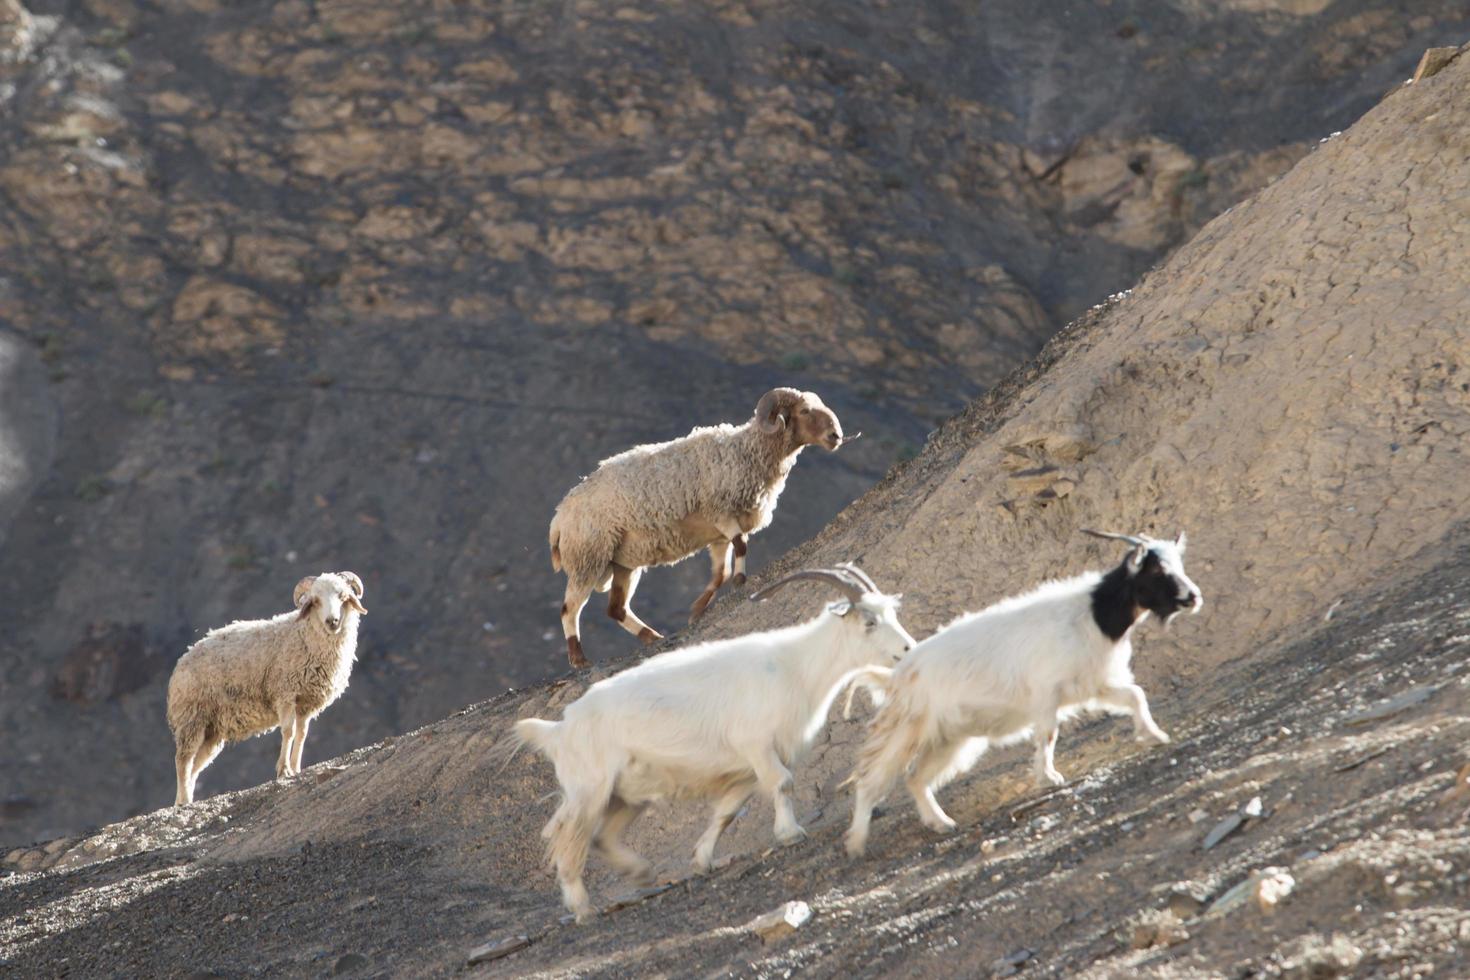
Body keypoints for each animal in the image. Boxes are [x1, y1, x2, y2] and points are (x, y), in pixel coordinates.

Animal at [166, 570, 367, 811]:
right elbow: (288, 731)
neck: (304, 634)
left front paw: (296, 767)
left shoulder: (306, 703)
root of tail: (182, 660)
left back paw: (184, 799)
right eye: (315, 601)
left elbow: (302, 734)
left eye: (343, 596)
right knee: (183, 760)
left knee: (195, 766)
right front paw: (284, 770)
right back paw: (184, 800)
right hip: (192, 717)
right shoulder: (285, 693)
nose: (332, 621)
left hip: (212, 731)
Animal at [511, 564, 911, 922]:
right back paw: (582, 908)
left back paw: (641, 873)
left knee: (601, 837)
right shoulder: (757, 746)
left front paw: (702, 860)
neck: (795, 667)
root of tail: (560, 728)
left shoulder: (745, 769)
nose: (907, 649)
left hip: (625, 795)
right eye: (869, 622)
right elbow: (782, 784)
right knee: (568, 836)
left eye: (891, 613)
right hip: (590, 789)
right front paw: (790, 834)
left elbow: (726, 812)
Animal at [546, 387, 858, 669]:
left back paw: (653, 637)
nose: (836, 436)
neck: (746, 451)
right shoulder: (720, 512)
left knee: (616, 609)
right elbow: (741, 546)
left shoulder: (718, 535)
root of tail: (558, 518)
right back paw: (579, 659)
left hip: (623, 563)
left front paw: (698, 609)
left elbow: (721, 572)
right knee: (569, 609)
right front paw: (741, 581)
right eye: (804, 411)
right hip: (588, 558)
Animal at [846, 528, 1199, 858]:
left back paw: (941, 822)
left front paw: (1154, 735)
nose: (1193, 597)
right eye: (1156, 570)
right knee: (870, 780)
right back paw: (856, 843)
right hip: (906, 729)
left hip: (949, 738)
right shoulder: (1046, 693)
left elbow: (1135, 695)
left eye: (1179, 563)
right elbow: (1048, 734)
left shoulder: (1094, 683)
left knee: (916, 777)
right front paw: (1050, 778)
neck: (1092, 614)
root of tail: (895, 676)